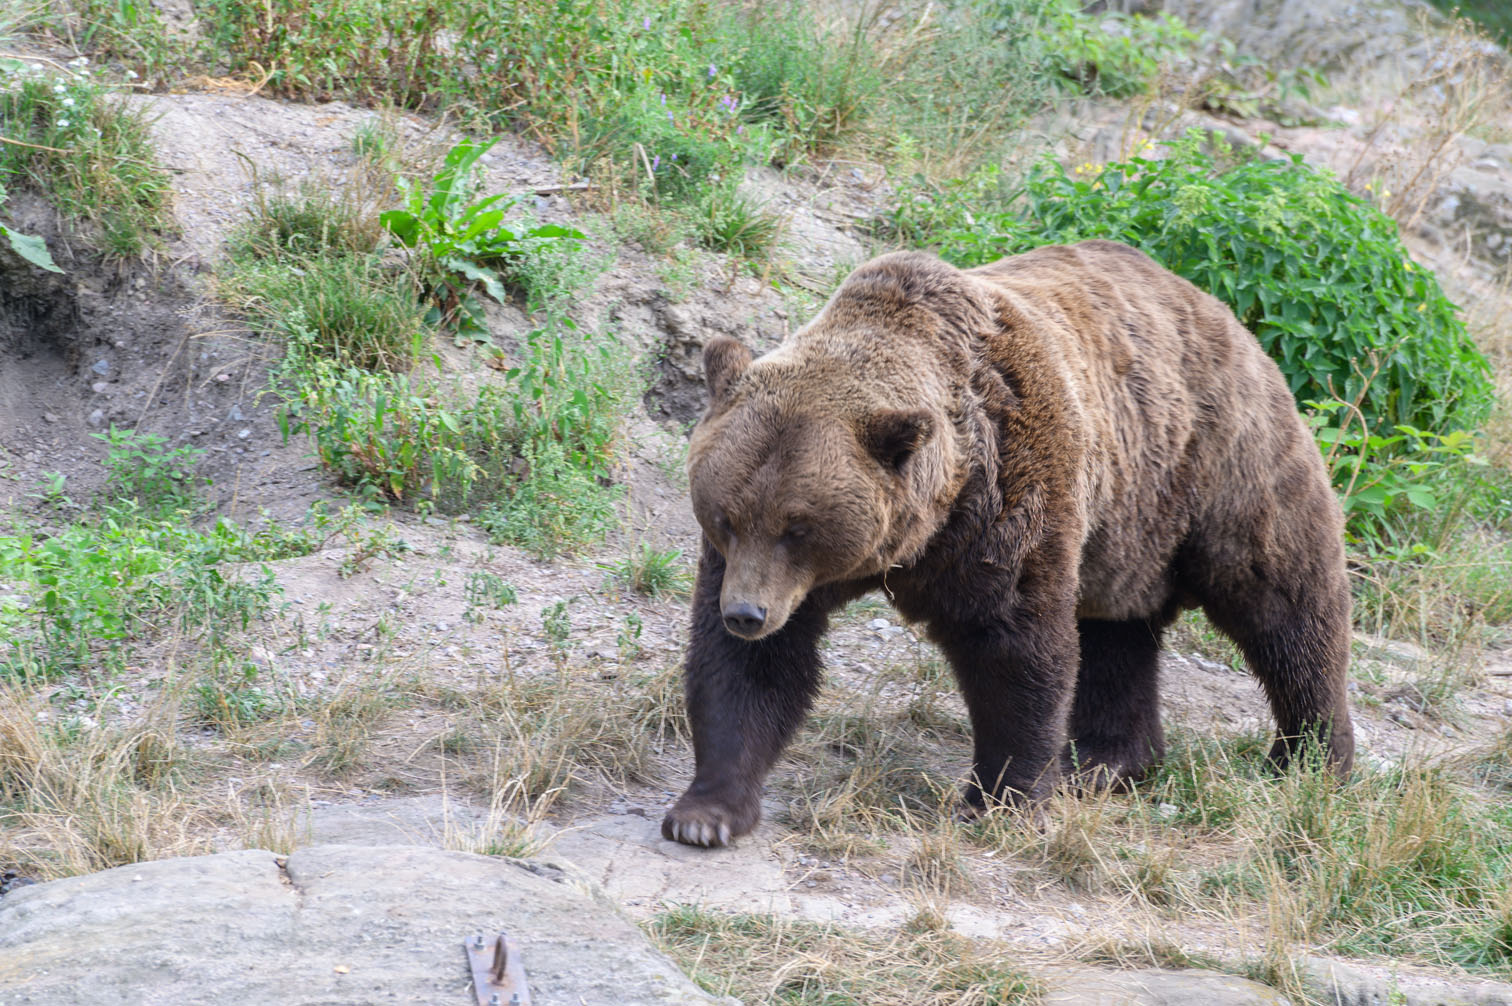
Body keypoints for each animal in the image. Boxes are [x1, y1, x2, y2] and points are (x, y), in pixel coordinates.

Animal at [665, 239, 1360, 841]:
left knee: (1284, 606)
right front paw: (706, 812)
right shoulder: (781, 576)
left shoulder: (1009, 493)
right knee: (1116, 633)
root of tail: (1225, 315)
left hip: (1225, 469)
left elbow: (1015, 648)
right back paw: (1106, 761)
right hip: (1128, 532)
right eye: (726, 517)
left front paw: (1001, 798)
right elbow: (752, 670)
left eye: (798, 527)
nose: (747, 613)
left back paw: (1309, 760)